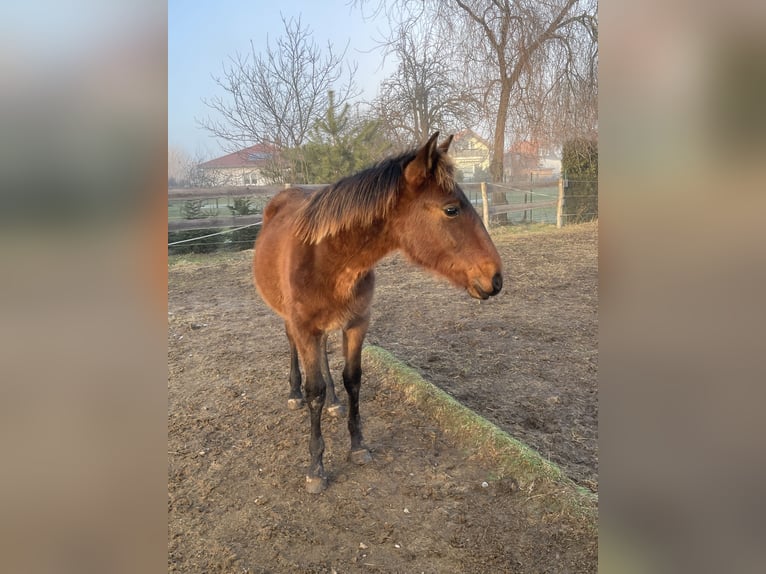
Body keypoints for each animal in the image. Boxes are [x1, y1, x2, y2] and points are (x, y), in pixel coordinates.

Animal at [254, 134, 504, 496]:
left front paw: (358, 445)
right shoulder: (304, 328)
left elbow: (353, 380)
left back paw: (333, 401)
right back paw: (294, 393)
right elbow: (314, 391)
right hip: (290, 321)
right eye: (451, 209)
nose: (495, 277)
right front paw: (315, 467)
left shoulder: (358, 323)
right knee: (291, 348)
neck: (328, 258)